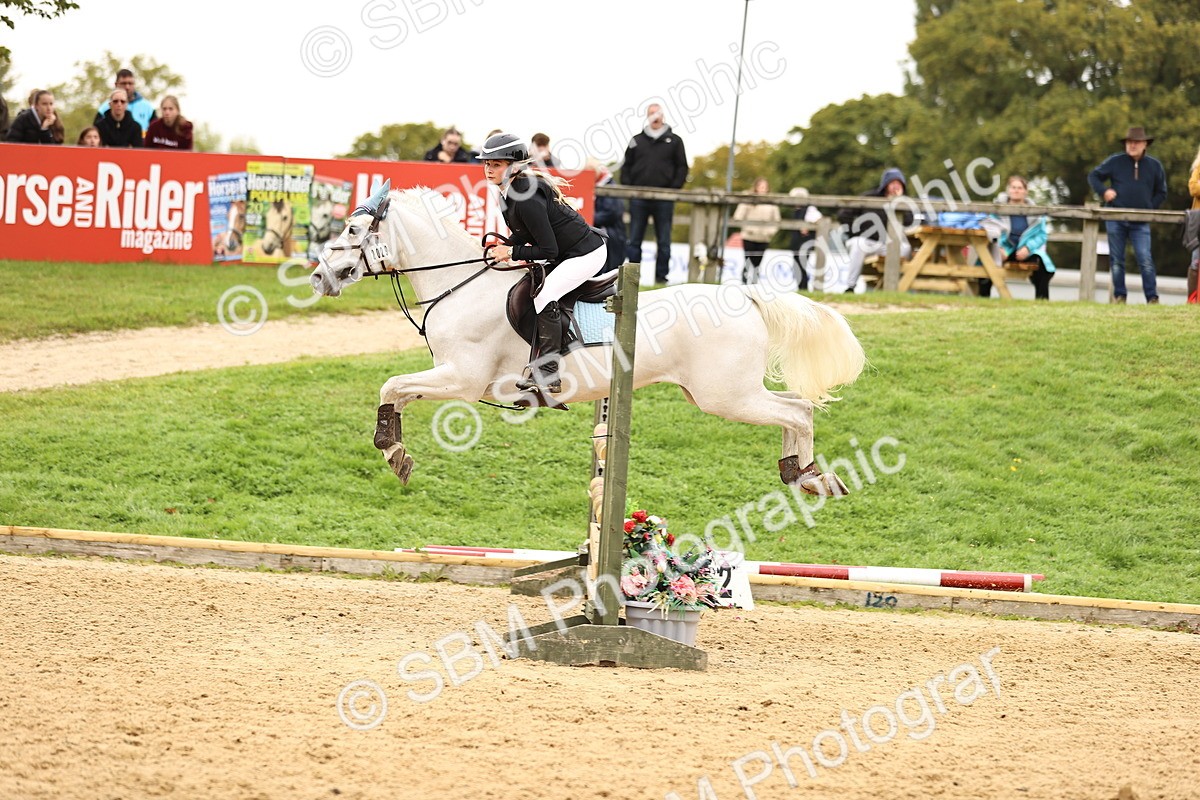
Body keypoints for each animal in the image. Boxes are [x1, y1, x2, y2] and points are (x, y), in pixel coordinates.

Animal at [309, 182, 866, 496]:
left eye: (354, 231)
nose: (318, 277)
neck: (459, 284)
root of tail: (745, 297)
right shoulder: (451, 377)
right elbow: (396, 392)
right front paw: (397, 452)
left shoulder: (461, 380)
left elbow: (391, 386)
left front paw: (392, 451)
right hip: (723, 392)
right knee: (798, 406)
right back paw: (802, 473)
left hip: (726, 396)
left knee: (797, 412)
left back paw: (808, 474)